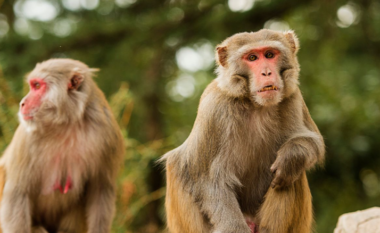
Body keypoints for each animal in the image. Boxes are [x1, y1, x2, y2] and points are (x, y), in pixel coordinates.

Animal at [0, 59, 123, 233]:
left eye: (37, 86)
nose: (22, 103)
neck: (66, 124)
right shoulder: (26, 137)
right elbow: (17, 193)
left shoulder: (108, 133)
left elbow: (101, 191)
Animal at [162, 29, 326, 233]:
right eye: (252, 58)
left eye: (269, 55)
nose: (266, 72)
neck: (255, 104)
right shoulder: (215, 108)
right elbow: (206, 177)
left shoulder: (292, 96)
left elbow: (314, 142)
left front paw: (293, 155)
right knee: (177, 166)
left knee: (291, 175)